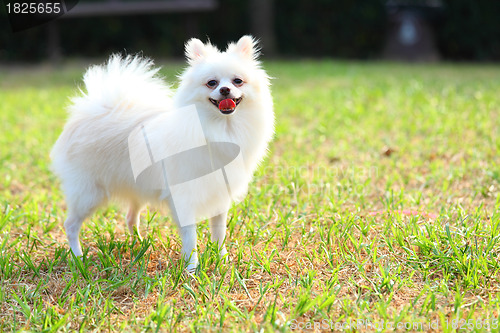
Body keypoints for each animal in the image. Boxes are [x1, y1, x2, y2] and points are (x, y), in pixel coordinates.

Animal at [51, 36, 274, 272]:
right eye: (211, 83)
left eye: (238, 81)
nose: (224, 90)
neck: (221, 127)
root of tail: (93, 111)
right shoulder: (184, 197)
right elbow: (190, 236)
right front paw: (191, 269)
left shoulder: (220, 193)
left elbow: (219, 232)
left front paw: (221, 260)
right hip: (89, 193)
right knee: (71, 224)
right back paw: (78, 257)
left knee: (130, 217)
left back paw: (140, 246)